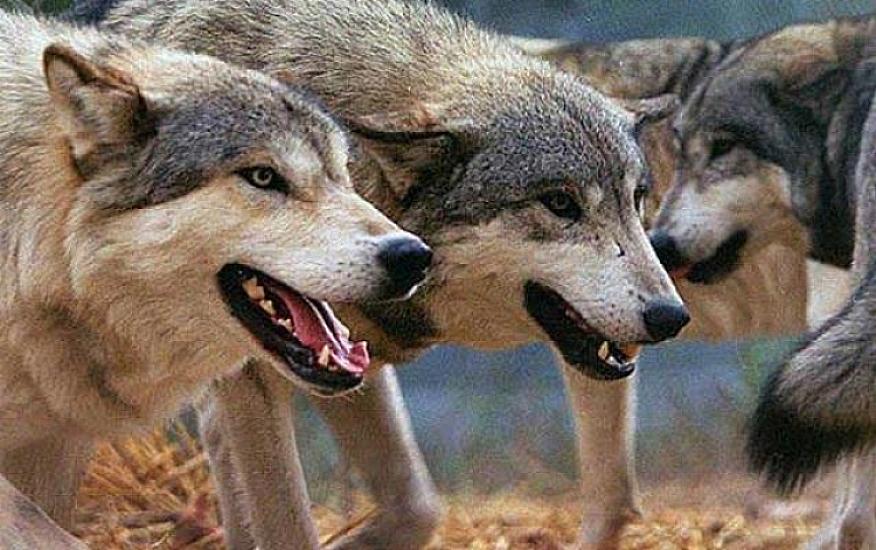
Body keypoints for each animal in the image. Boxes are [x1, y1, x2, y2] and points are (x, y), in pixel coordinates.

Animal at [78, 0, 694, 548]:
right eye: (561, 204)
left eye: (636, 199)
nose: (671, 317)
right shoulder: (257, 377)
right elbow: (288, 526)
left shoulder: (346, 357)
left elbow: (416, 507)